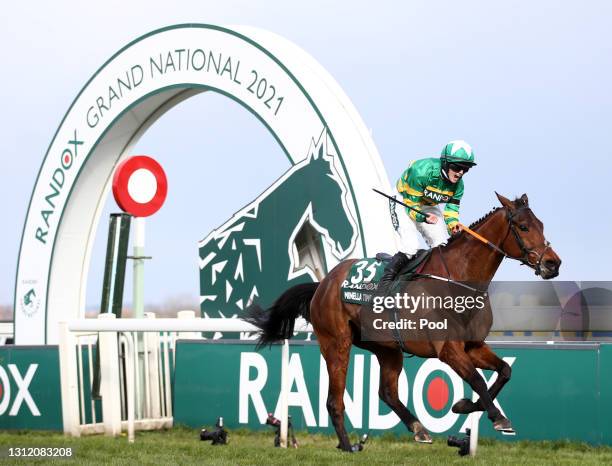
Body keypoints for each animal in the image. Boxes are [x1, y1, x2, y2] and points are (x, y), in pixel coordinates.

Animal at [243, 193, 560, 452]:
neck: (457, 280)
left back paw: (418, 429)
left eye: (542, 225)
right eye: (523, 227)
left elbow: (504, 371)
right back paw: (347, 446)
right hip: (336, 343)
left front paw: (465, 406)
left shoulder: (473, 345)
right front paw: (496, 417)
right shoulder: (448, 349)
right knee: (335, 400)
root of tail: (323, 283)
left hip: (387, 349)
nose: (553, 264)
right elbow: (477, 379)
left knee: (387, 392)